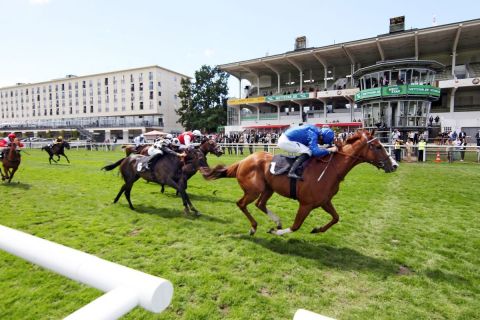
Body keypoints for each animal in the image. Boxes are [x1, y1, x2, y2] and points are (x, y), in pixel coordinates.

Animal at [201, 129, 400, 236]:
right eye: (377, 146)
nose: (394, 165)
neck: (331, 169)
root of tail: (243, 161)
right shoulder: (306, 204)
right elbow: (296, 226)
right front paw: (276, 232)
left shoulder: (324, 201)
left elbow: (336, 218)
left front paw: (317, 229)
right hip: (253, 190)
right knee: (242, 204)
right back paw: (254, 228)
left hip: (268, 188)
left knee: (260, 204)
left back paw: (277, 221)